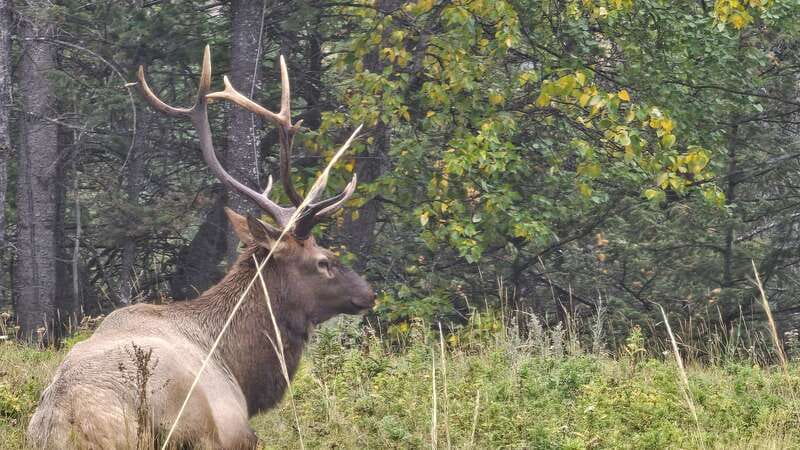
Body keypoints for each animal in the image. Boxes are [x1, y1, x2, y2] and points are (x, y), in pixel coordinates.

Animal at [26, 46, 375, 449]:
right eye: (323, 262)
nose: (369, 293)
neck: (239, 368)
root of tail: (69, 422)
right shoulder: (235, 429)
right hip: (186, 417)